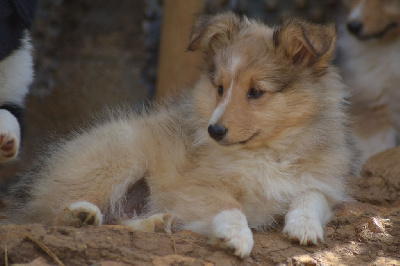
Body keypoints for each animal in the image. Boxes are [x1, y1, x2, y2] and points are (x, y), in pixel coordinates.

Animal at [2, 13, 360, 258]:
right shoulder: (196, 186)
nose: (214, 131)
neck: (268, 151)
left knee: (116, 218)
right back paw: (79, 215)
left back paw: (158, 221)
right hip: (120, 155)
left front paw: (305, 227)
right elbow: (229, 205)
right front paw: (237, 237)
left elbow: (310, 196)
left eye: (256, 92)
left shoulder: (323, 183)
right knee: (43, 214)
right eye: (219, 88)